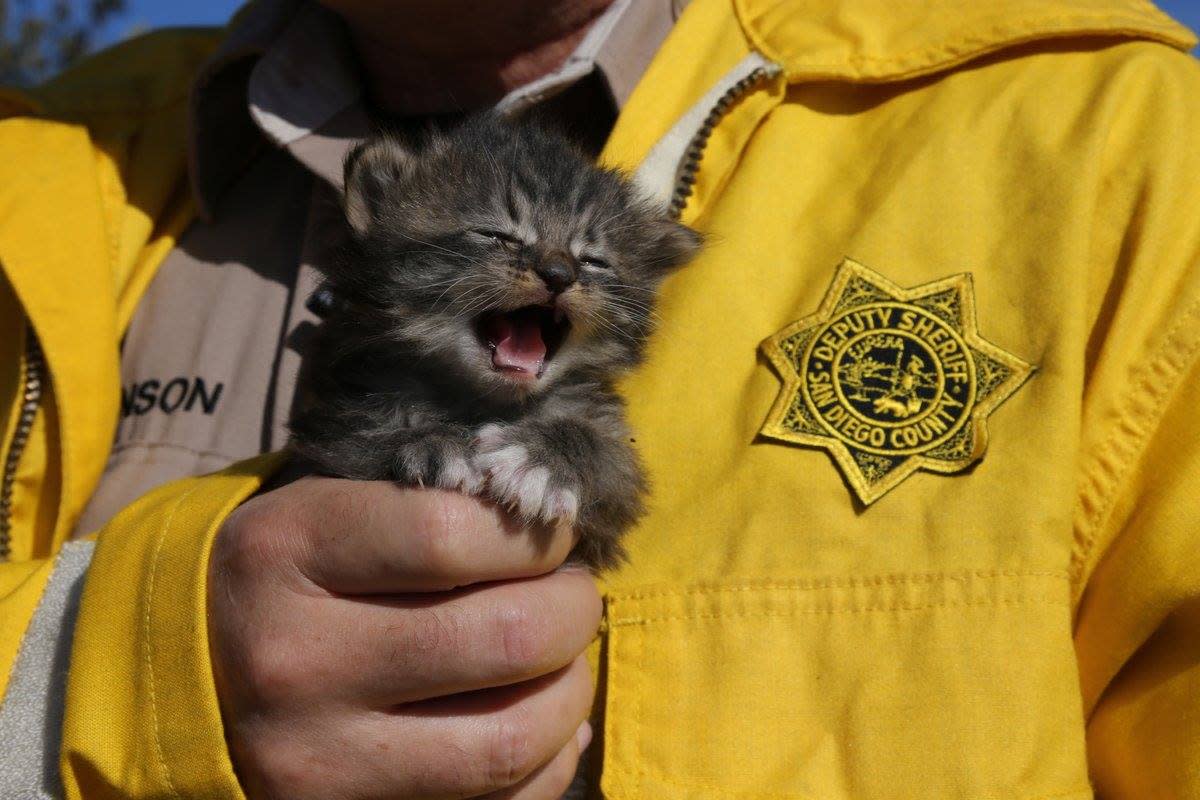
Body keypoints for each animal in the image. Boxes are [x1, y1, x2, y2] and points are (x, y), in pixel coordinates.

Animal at [291, 113, 700, 568]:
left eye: (593, 260)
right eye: (496, 235)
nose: (559, 274)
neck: (482, 398)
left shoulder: (611, 470)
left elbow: (610, 457)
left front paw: (541, 460)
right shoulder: (329, 427)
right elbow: (355, 438)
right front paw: (431, 444)